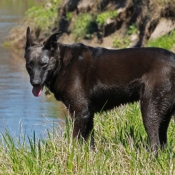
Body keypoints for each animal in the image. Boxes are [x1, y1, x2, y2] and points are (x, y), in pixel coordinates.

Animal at [24, 27, 175, 156]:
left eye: (44, 64)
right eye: (29, 65)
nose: (35, 83)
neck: (62, 64)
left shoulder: (80, 112)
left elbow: (76, 139)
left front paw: (72, 156)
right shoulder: (88, 114)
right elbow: (89, 142)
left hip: (149, 110)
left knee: (155, 143)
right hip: (163, 115)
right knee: (162, 142)